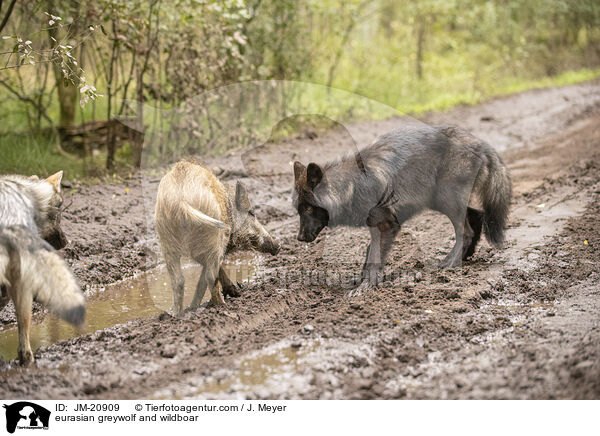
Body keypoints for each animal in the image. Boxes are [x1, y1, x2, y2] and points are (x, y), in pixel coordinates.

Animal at [152, 158, 278, 316]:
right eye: (252, 213)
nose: (277, 246)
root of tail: (181, 200)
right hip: (210, 236)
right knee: (210, 276)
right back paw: (221, 306)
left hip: (167, 240)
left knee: (178, 280)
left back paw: (176, 314)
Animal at [290, 124, 510, 298]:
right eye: (298, 210)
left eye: (309, 208)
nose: (300, 238)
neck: (352, 186)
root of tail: (481, 143)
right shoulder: (378, 227)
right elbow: (369, 255)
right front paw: (361, 281)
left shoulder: (386, 225)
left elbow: (374, 259)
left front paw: (365, 288)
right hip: (439, 201)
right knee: (477, 215)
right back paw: (464, 257)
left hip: (447, 200)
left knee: (466, 231)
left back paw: (451, 263)